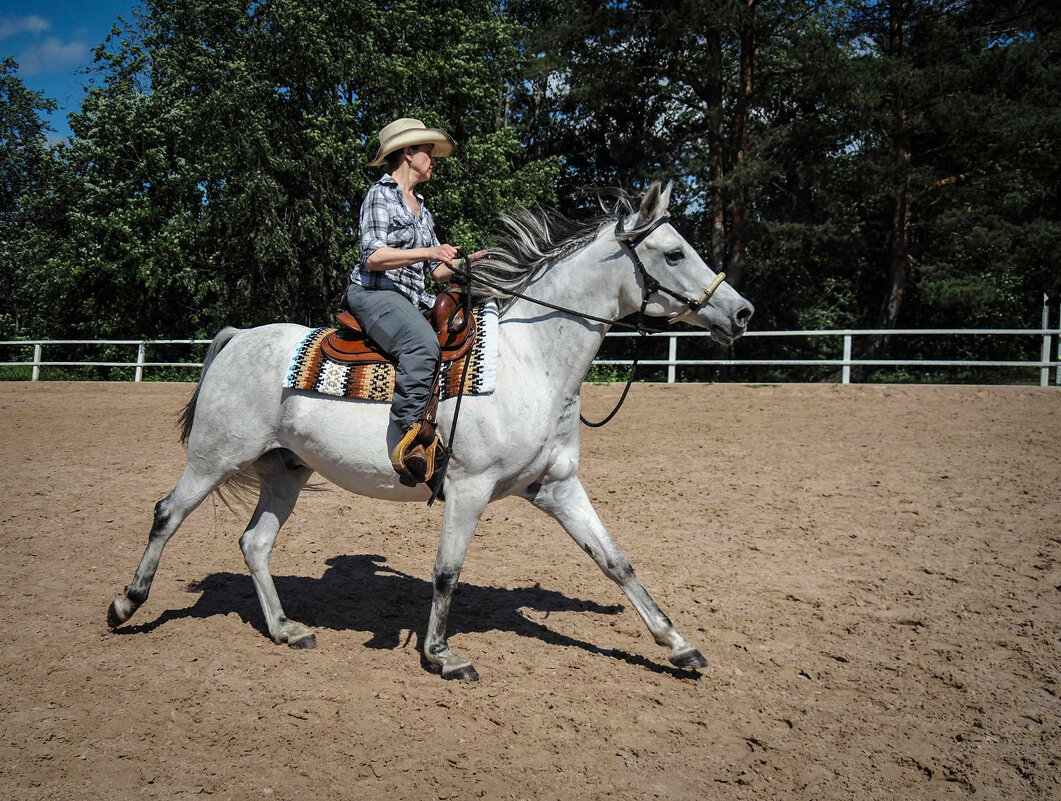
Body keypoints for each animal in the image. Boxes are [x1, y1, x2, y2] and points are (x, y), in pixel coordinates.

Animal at [107, 183, 755, 683]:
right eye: (673, 253)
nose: (743, 312)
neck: (528, 360)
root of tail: (239, 337)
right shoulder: (469, 488)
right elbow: (447, 571)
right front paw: (442, 655)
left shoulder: (557, 485)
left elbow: (617, 561)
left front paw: (679, 646)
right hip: (212, 458)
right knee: (167, 513)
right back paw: (124, 604)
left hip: (285, 471)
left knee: (255, 543)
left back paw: (288, 629)